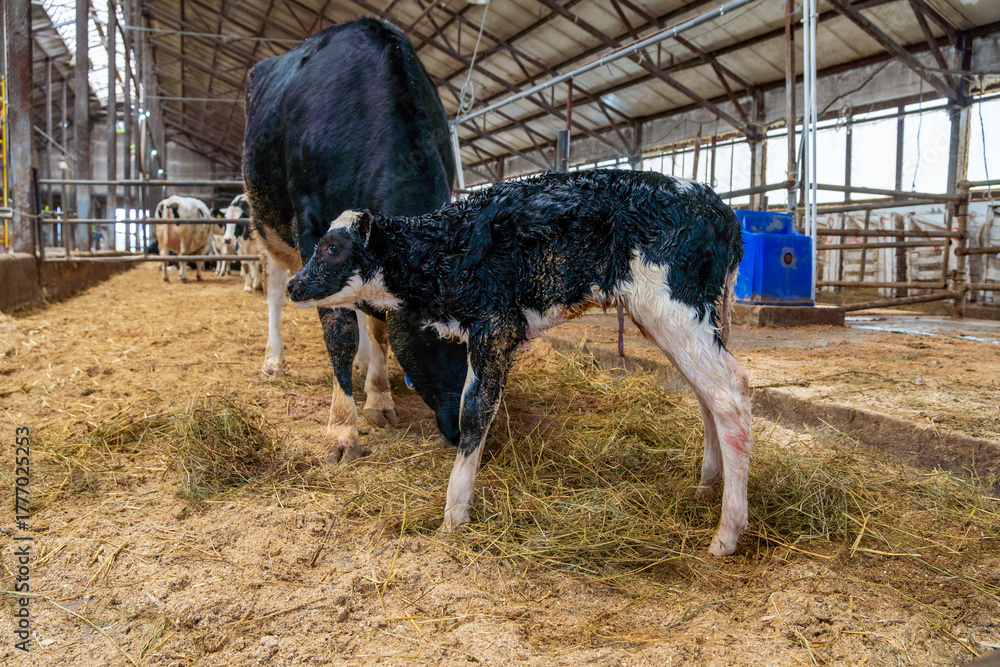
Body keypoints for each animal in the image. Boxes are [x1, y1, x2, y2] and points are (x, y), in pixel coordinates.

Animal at [242, 17, 466, 463]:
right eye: (437, 331)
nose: (465, 427)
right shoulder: (313, 234)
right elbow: (339, 330)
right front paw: (343, 429)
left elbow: (377, 326)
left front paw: (379, 398)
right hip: (266, 225)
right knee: (274, 294)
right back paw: (273, 361)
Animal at [286, 169, 752, 557]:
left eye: (332, 248)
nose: (293, 284)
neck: (447, 248)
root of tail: (723, 212)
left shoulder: (495, 326)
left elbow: (474, 413)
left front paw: (454, 514)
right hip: (682, 318)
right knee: (707, 394)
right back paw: (706, 486)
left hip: (673, 307)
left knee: (732, 391)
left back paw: (727, 534)